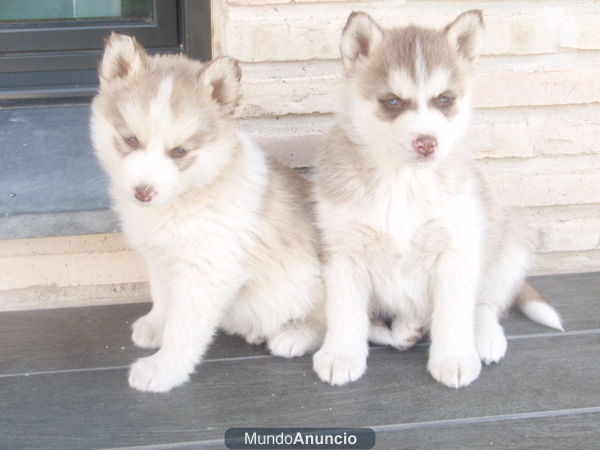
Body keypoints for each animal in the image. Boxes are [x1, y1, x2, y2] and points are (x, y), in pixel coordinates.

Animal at [91, 34, 324, 394]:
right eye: (130, 140)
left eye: (179, 151)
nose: (143, 192)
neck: (188, 196)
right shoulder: (161, 259)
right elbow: (163, 298)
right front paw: (156, 325)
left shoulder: (206, 274)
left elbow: (184, 329)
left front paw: (164, 369)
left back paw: (294, 335)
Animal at [314, 12, 564, 388]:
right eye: (392, 101)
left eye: (444, 99)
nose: (426, 142)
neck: (404, 180)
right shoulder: (344, 251)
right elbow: (344, 311)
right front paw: (340, 355)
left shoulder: (455, 250)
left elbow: (454, 313)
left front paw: (455, 359)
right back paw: (407, 327)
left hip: (511, 247)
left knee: (485, 303)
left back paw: (485, 337)